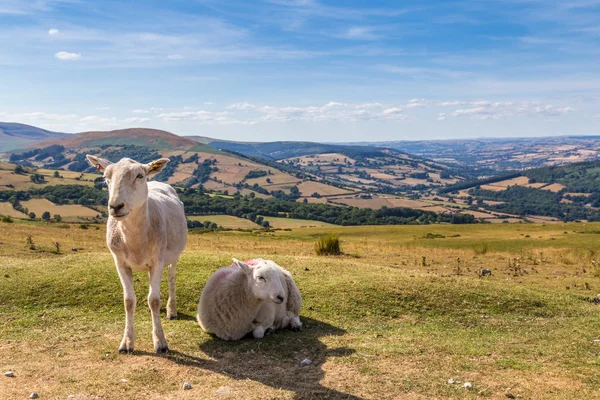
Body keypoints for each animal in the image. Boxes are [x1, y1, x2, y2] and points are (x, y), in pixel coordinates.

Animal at [85, 156, 186, 354]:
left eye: (139, 175)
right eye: (106, 176)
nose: (115, 206)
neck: (135, 241)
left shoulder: (158, 260)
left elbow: (154, 300)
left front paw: (160, 342)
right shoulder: (120, 262)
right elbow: (129, 301)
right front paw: (127, 342)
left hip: (173, 256)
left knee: (171, 278)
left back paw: (171, 310)